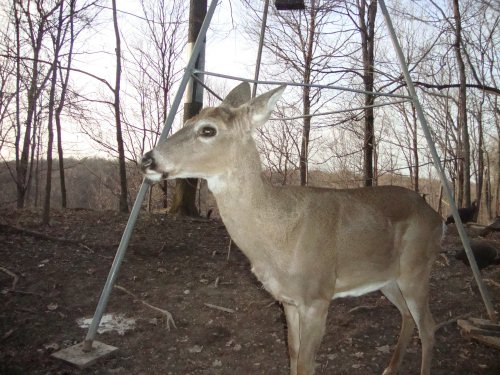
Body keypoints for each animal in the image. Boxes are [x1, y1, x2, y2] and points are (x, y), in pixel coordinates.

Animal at [140, 83, 442, 375]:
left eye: (207, 130)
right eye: (188, 119)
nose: (147, 160)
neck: (279, 236)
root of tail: (437, 217)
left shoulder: (317, 295)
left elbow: (307, 363)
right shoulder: (287, 300)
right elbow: (293, 353)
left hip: (417, 268)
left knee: (428, 325)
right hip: (387, 278)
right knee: (407, 316)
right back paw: (389, 368)